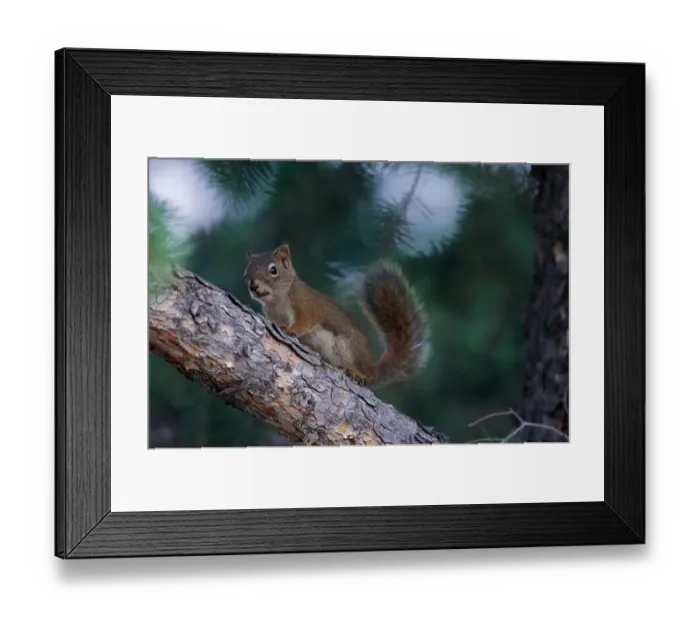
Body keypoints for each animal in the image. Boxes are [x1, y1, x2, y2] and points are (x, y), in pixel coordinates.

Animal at [244, 243, 430, 387]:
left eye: (273, 270)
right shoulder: (271, 314)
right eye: (246, 272)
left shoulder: (306, 306)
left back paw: (358, 374)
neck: (277, 300)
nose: (253, 286)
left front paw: (290, 329)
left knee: (369, 377)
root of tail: (372, 367)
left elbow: (305, 321)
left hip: (348, 346)